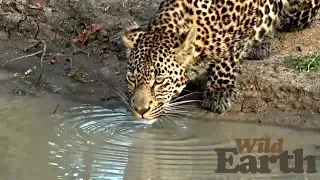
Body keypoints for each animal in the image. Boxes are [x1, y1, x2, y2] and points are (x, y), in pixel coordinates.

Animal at [120, 0, 320, 121]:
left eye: (160, 81)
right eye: (132, 78)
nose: (140, 110)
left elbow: (228, 57)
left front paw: (219, 91)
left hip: (300, 13)